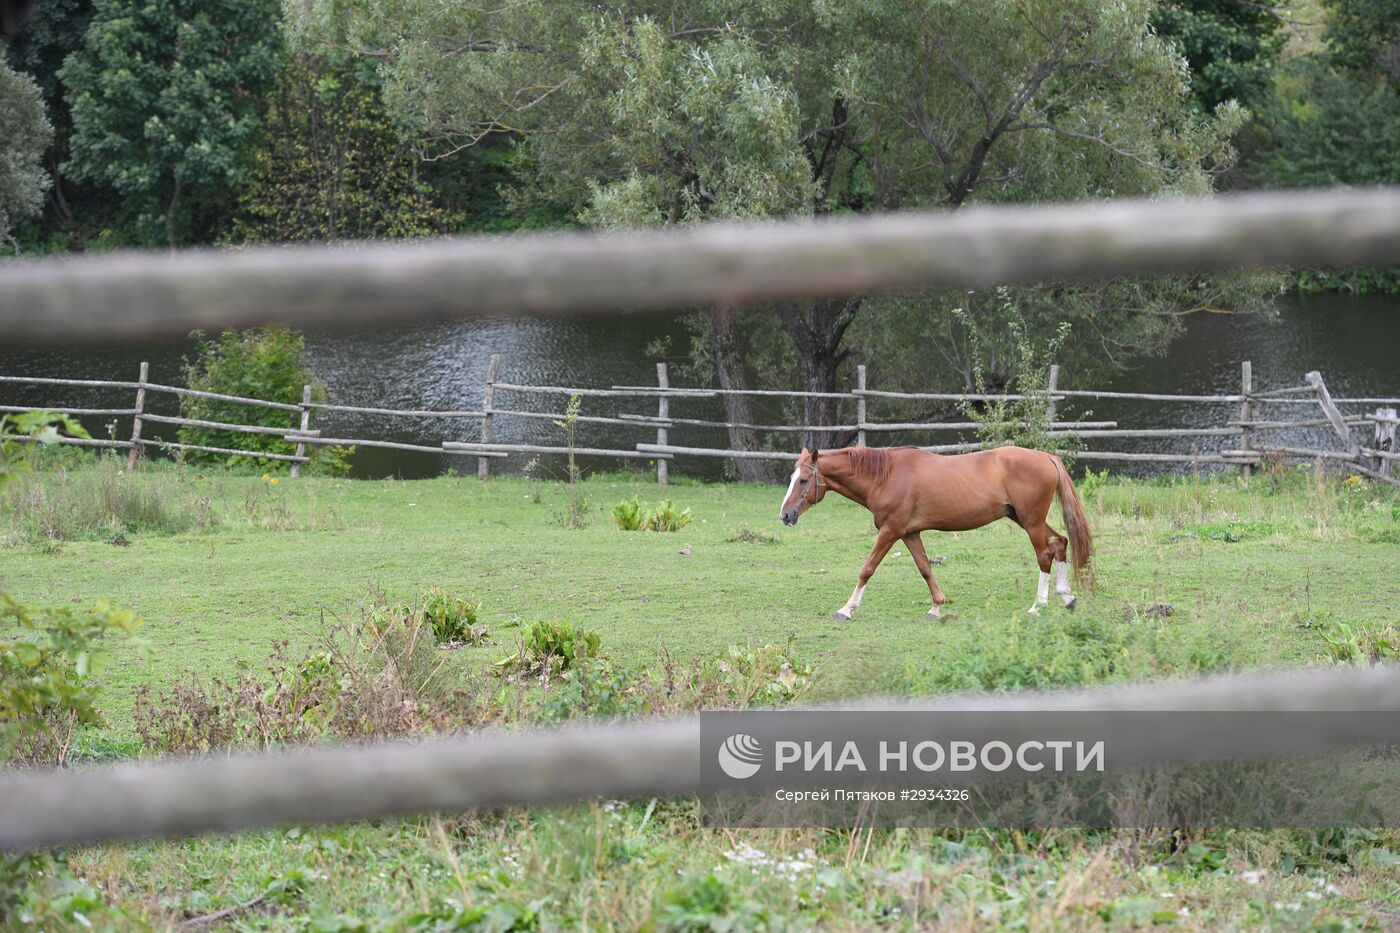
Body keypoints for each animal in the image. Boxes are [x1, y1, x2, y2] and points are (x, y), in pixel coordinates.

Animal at [778, 445, 1092, 616]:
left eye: (804, 480)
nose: (785, 515)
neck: (885, 477)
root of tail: (1046, 457)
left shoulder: (890, 531)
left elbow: (867, 569)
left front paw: (846, 609)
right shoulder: (909, 533)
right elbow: (925, 568)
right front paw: (937, 606)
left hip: (1031, 521)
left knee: (1045, 555)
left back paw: (1038, 606)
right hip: (1025, 518)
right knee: (1061, 543)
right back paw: (1067, 598)